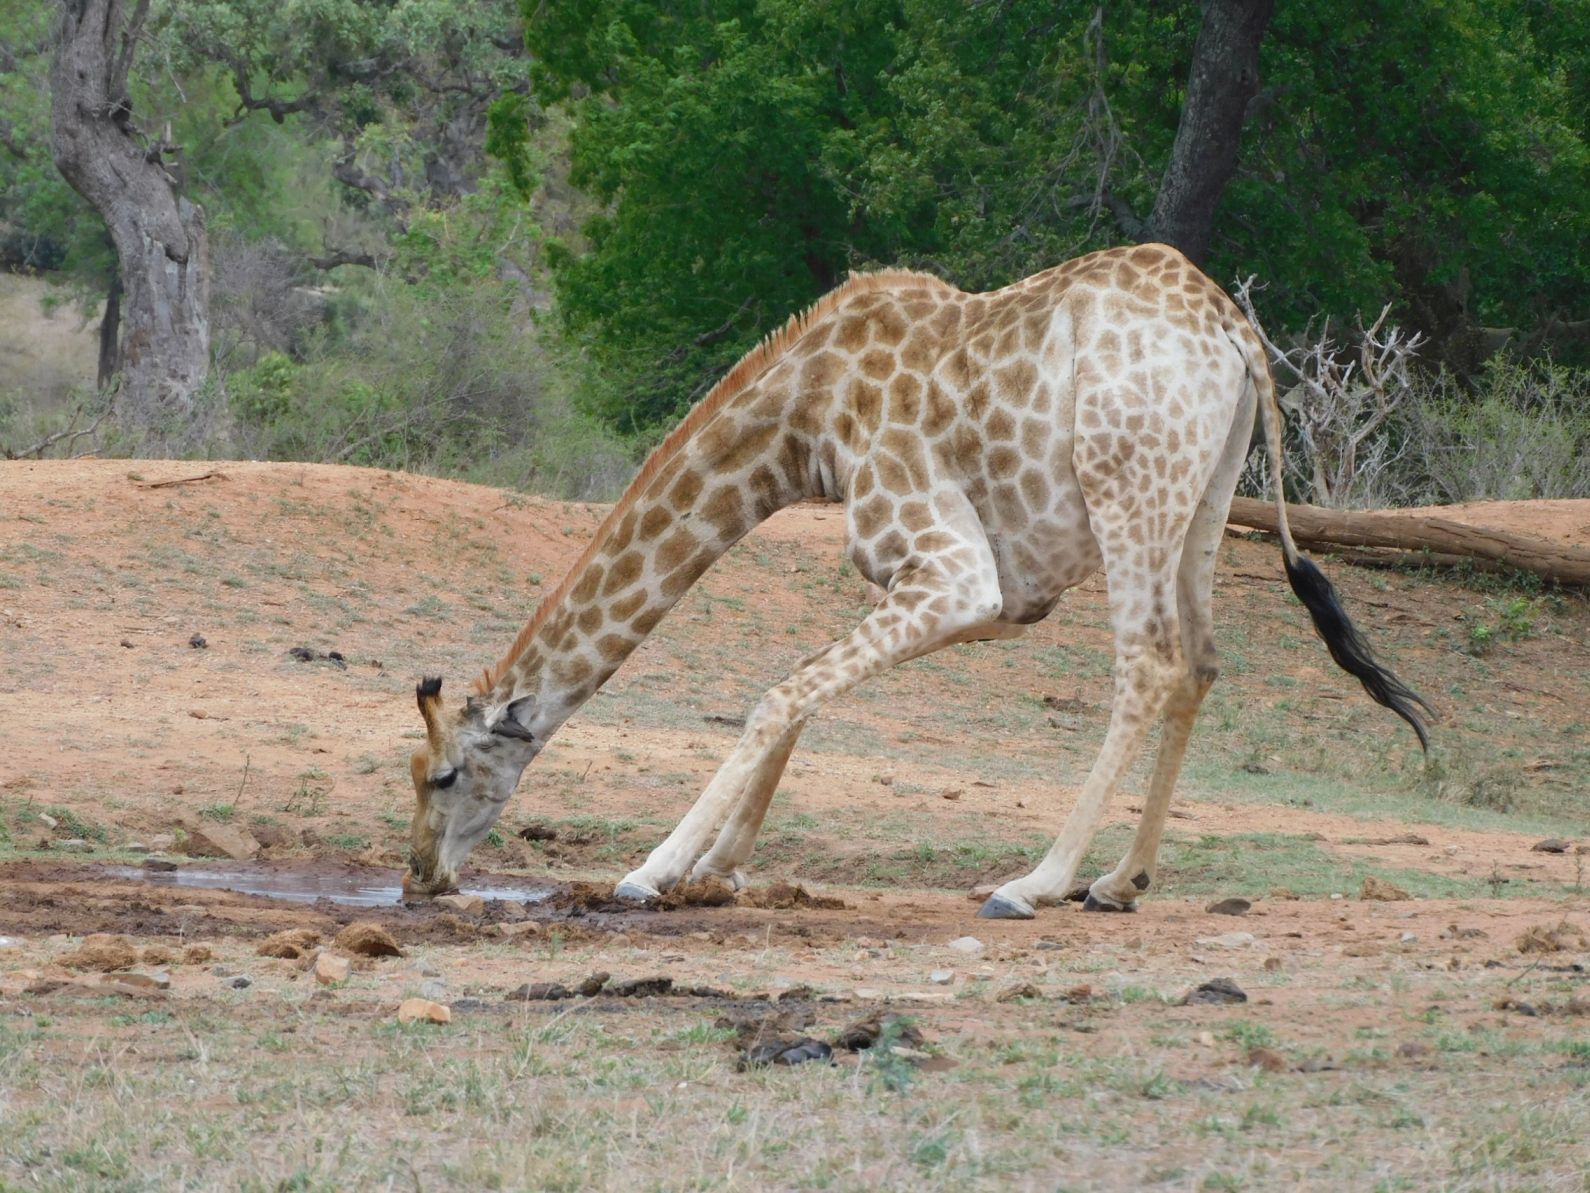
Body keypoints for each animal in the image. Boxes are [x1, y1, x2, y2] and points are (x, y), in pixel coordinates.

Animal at [405, 243, 1430, 917]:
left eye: (443, 773)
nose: (418, 875)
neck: (804, 421)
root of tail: (1233, 328)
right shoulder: (992, 591)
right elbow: (801, 689)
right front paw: (721, 866)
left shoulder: (952, 568)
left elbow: (776, 695)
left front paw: (656, 868)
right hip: (1206, 499)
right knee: (1205, 660)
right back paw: (1119, 880)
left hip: (1127, 487)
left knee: (1149, 661)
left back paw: (1035, 882)